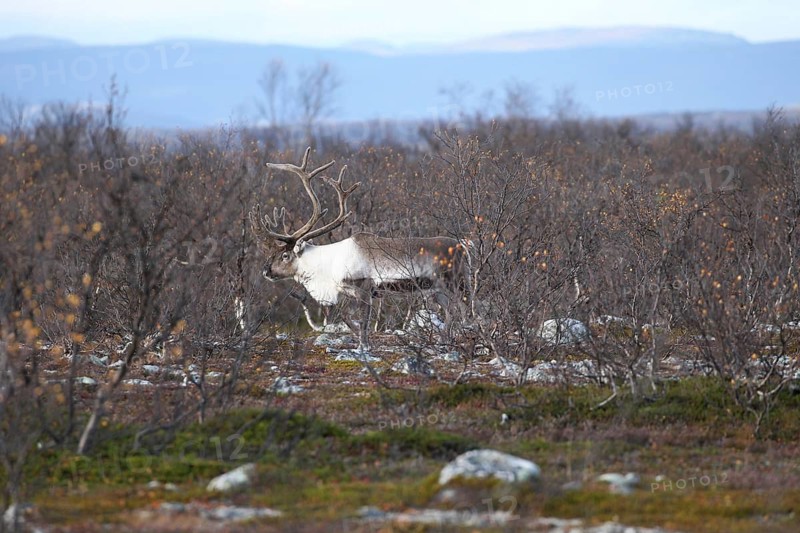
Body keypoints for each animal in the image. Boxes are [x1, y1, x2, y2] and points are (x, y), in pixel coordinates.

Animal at [250, 147, 471, 353]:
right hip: (438, 290)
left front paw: (364, 346)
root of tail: (464, 247)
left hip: (457, 282)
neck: (327, 265)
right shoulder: (346, 291)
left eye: (285, 255)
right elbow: (345, 317)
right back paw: (445, 340)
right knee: (451, 311)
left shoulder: (365, 288)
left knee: (465, 308)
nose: (266, 271)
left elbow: (363, 320)